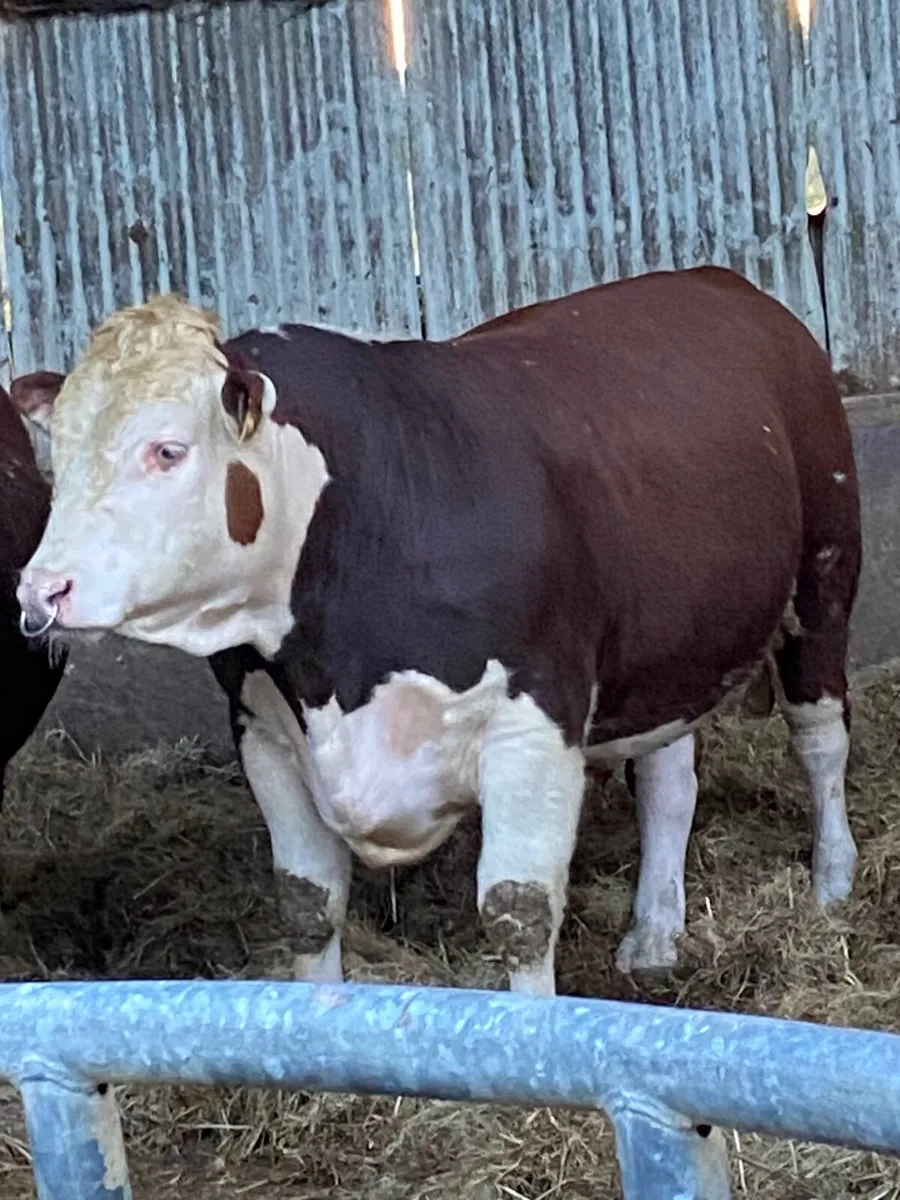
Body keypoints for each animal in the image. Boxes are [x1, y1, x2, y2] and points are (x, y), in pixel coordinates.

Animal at [13, 266, 861, 996]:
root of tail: (718, 281)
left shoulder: (534, 726)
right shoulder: (265, 731)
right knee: (667, 778)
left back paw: (834, 882)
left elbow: (519, 914)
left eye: (168, 449)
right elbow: (306, 906)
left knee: (820, 736)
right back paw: (653, 935)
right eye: (64, 452)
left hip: (824, 574)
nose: (41, 589)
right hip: (674, 647)